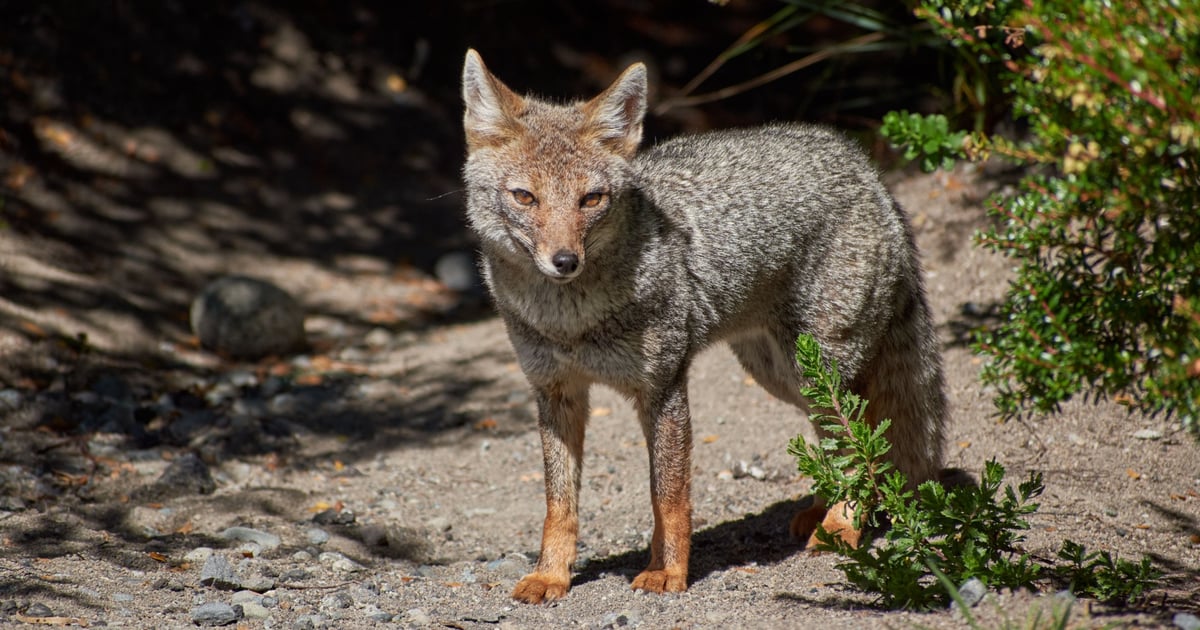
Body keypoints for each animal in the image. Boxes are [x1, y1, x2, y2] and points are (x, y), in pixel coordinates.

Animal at [460, 49, 948, 604]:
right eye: (524, 197)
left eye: (591, 200)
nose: (565, 261)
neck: (572, 321)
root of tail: (865, 167)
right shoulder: (555, 392)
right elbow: (559, 505)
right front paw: (551, 575)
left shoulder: (664, 386)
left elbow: (668, 496)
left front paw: (669, 571)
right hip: (783, 378)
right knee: (841, 442)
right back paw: (821, 512)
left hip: (819, 370)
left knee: (860, 443)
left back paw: (842, 527)